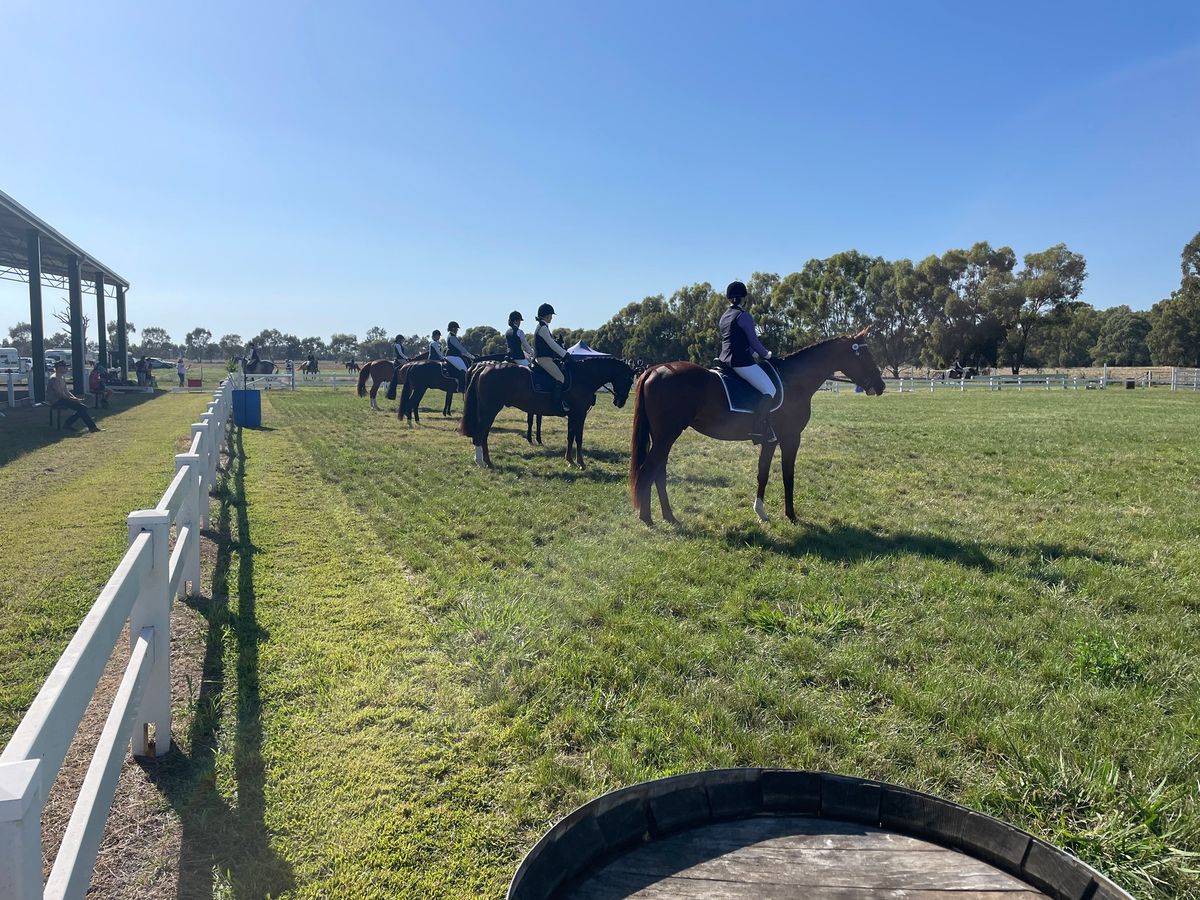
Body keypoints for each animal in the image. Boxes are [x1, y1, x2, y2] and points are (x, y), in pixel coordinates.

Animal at [456, 357, 638, 472]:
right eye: (629, 379)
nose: (620, 402)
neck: (584, 376)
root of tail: (485, 367)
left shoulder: (573, 415)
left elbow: (570, 437)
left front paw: (570, 461)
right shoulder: (579, 415)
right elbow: (578, 438)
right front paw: (581, 463)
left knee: (484, 434)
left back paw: (487, 461)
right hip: (490, 409)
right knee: (481, 433)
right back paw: (481, 462)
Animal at [624, 333, 888, 528]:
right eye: (864, 355)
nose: (881, 385)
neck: (794, 380)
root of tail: (654, 369)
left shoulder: (770, 441)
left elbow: (763, 474)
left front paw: (760, 513)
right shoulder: (791, 438)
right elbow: (788, 476)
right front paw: (791, 515)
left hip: (662, 437)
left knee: (658, 473)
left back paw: (669, 517)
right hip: (666, 436)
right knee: (648, 471)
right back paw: (647, 519)